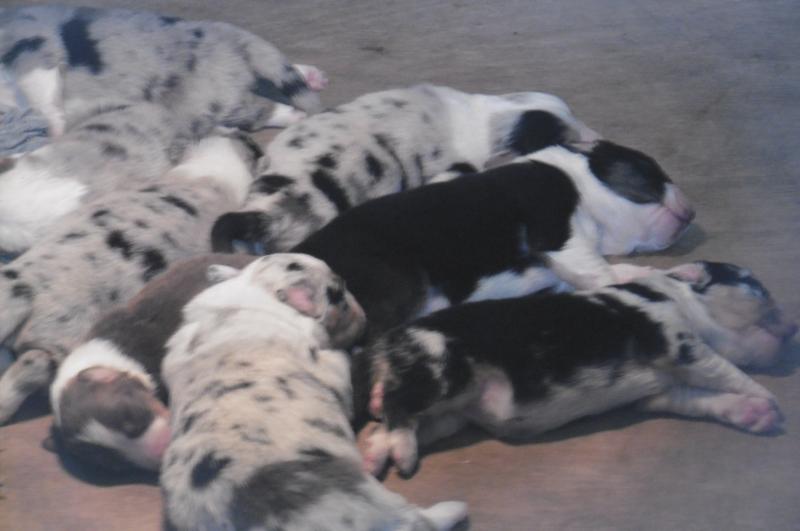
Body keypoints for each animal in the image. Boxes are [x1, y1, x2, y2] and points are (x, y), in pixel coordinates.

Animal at [0, 5, 324, 254]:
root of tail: (221, 33)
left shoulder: (33, 58)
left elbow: (46, 98)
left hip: (214, 100)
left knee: (259, 109)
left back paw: (295, 111)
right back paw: (311, 76)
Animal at [160, 253, 467, 531]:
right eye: (339, 294)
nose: (359, 306)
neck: (250, 297)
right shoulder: (332, 365)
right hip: (370, 500)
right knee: (416, 520)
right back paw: (453, 508)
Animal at [361, 261, 797, 477]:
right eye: (756, 285)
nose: (794, 328)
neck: (688, 302)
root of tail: (388, 342)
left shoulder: (662, 392)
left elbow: (706, 398)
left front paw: (761, 415)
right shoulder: (676, 342)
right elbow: (728, 371)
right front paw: (773, 405)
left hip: (450, 416)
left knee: (394, 424)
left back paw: (374, 456)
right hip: (442, 369)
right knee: (399, 408)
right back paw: (402, 458)